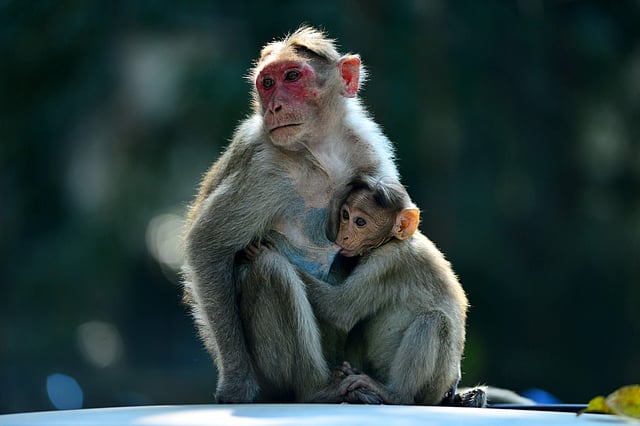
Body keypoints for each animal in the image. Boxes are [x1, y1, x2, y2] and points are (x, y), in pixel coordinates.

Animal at [181, 26, 404, 403]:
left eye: (292, 77)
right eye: (267, 83)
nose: (274, 106)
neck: (322, 153)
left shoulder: (370, 154)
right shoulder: (267, 171)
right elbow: (207, 246)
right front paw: (237, 383)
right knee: (268, 268)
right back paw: (318, 390)